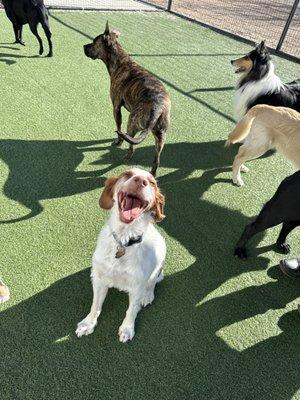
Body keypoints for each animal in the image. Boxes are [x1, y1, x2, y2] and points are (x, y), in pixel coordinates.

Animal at [75, 167, 164, 342]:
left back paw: (148, 296)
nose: (141, 181)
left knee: (153, 281)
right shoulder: (98, 279)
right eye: (127, 174)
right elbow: (95, 305)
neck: (124, 240)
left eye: (152, 182)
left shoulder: (137, 286)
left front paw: (127, 329)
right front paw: (88, 324)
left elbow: (131, 310)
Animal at [83, 22, 170, 177]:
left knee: (131, 145)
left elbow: (118, 126)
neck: (121, 61)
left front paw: (118, 141)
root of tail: (158, 107)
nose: (83, 46)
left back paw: (127, 155)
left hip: (132, 121)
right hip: (161, 136)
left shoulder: (116, 107)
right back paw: (152, 174)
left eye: (93, 42)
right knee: (156, 160)